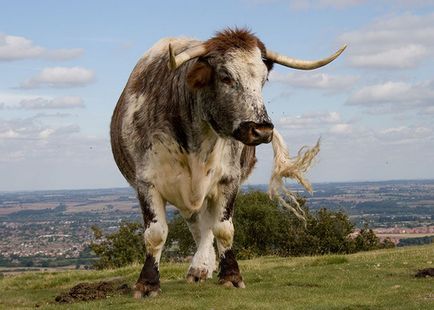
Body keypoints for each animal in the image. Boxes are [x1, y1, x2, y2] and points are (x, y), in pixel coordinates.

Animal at [110, 27, 344, 296]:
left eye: (263, 79)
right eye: (225, 77)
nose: (262, 130)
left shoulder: (229, 179)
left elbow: (223, 229)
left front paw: (231, 275)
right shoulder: (146, 182)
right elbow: (156, 234)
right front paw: (147, 284)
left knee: (206, 227)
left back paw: (202, 267)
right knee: (197, 227)